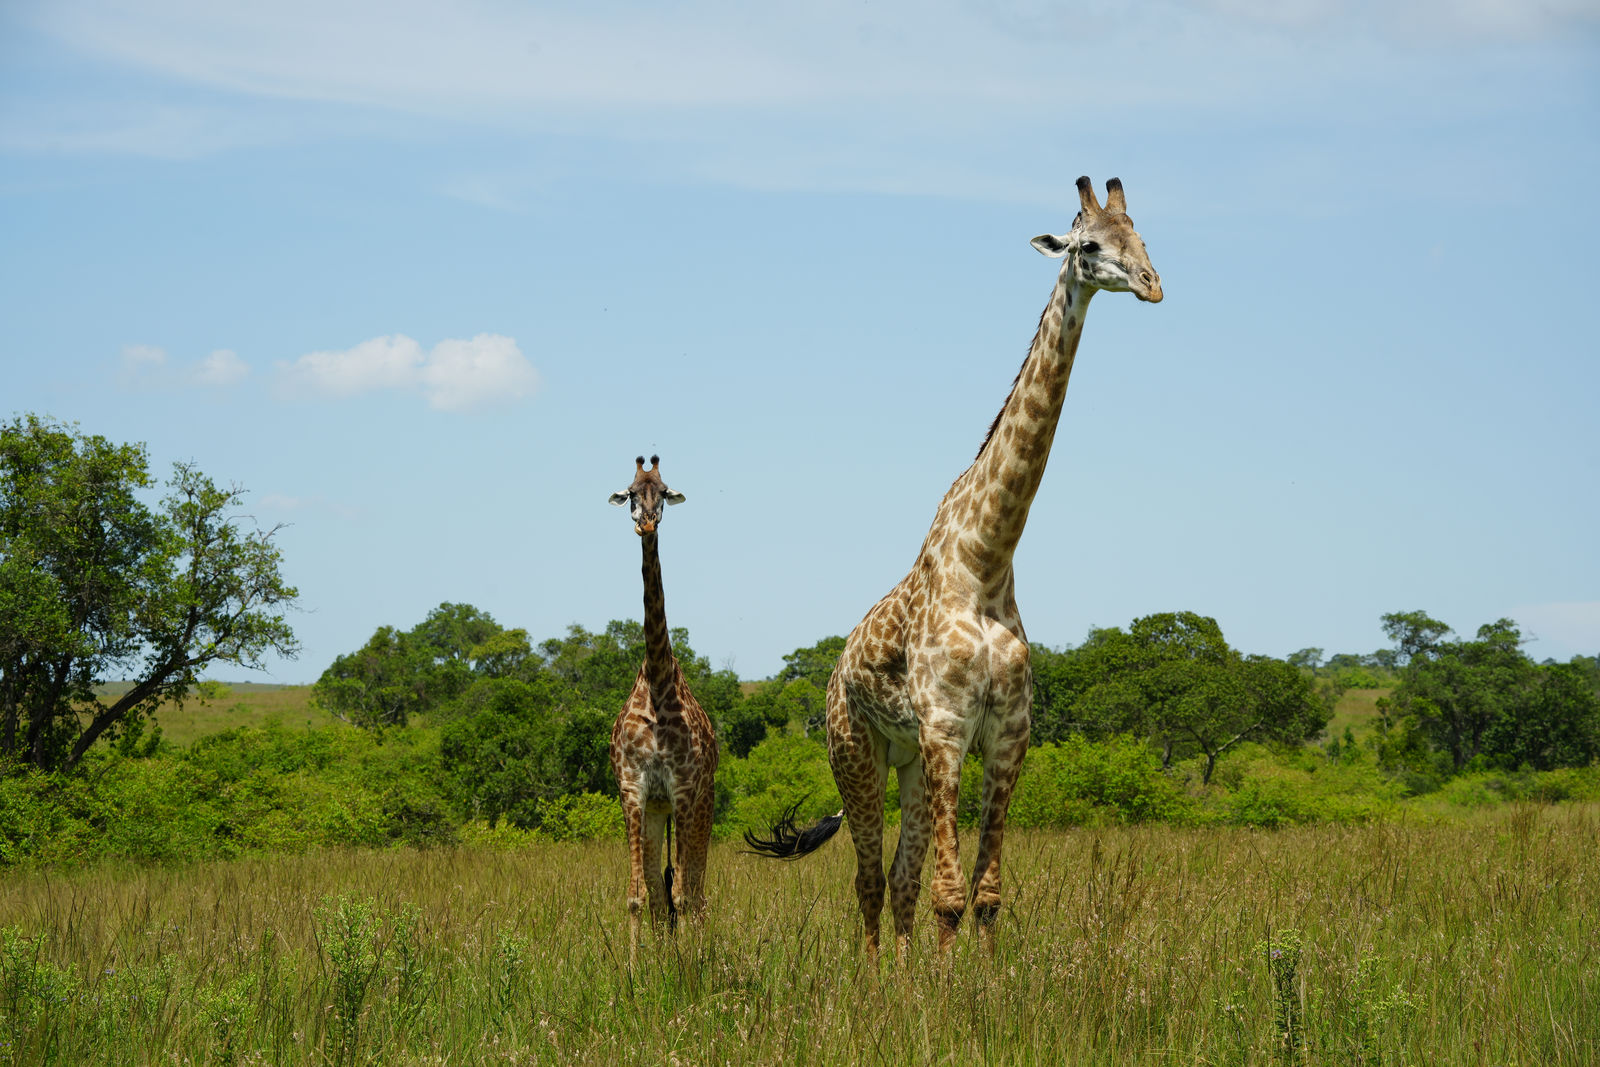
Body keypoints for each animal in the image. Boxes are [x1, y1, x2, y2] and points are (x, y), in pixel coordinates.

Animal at [746, 178, 1162, 956]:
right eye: (1091, 245)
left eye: (1143, 238)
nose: (1153, 284)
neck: (988, 558)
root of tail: (833, 673)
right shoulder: (946, 726)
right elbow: (949, 896)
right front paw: (946, 991)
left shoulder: (1006, 733)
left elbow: (986, 894)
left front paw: (981, 984)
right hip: (857, 752)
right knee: (870, 881)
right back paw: (876, 979)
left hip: (908, 761)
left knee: (900, 882)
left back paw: (904, 977)